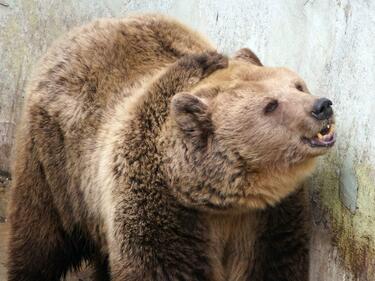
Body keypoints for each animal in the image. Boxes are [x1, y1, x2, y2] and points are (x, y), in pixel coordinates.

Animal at [6, 13, 334, 280]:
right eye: (271, 105)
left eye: (297, 85)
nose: (322, 106)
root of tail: (72, 35)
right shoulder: (159, 213)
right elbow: (162, 268)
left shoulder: (269, 221)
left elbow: (276, 264)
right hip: (55, 166)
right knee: (38, 238)